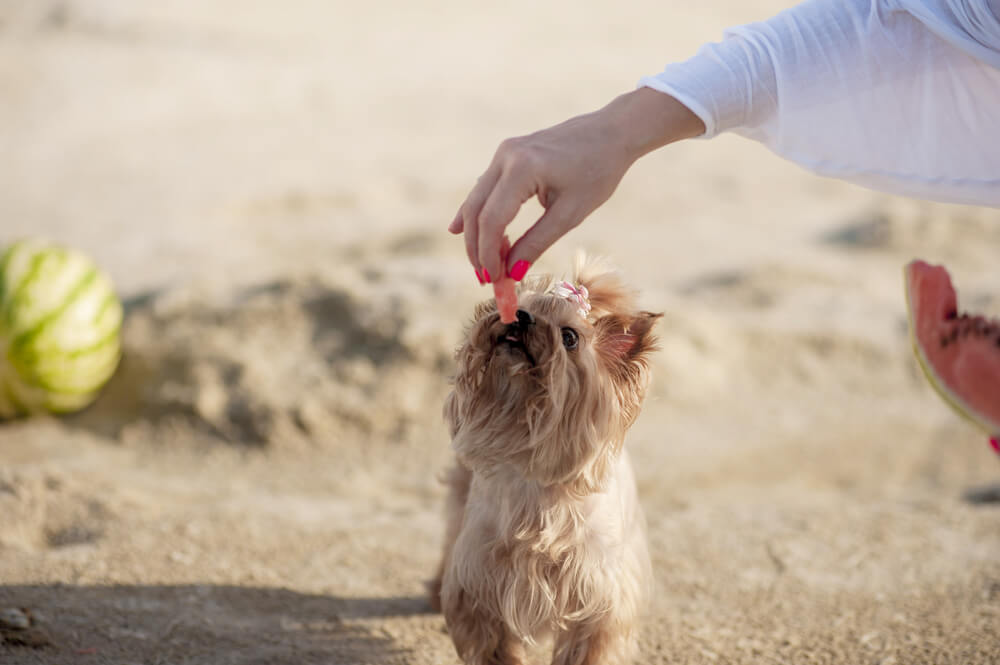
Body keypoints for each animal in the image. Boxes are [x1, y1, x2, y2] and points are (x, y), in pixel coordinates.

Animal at [428, 256, 656, 664]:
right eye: (513, 305)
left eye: (570, 337)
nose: (519, 316)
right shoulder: (481, 586)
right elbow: (494, 646)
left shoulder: (598, 602)